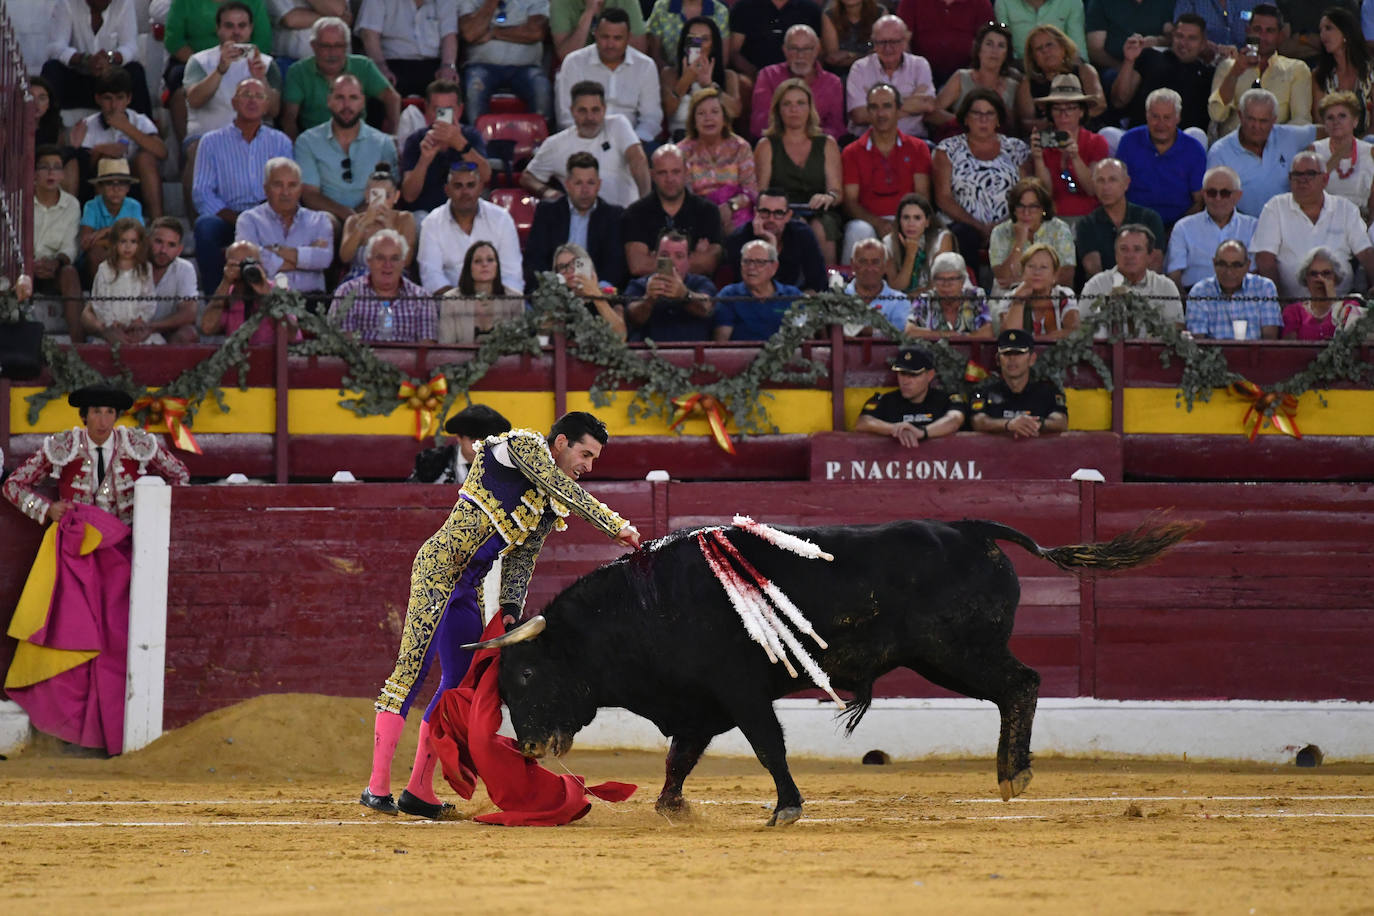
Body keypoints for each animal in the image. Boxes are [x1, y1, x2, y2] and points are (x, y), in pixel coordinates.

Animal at [467, 519, 1198, 829]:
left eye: (524, 679)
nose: (528, 747)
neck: (649, 606)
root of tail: (971, 527)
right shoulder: (703, 704)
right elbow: (681, 756)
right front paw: (673, 807)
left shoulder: (740, 693)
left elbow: (768, 747)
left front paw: (787, 808)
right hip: (946, 657)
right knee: (1017, 686)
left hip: (954, 653)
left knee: (1023, 684)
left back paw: (1012, 774)